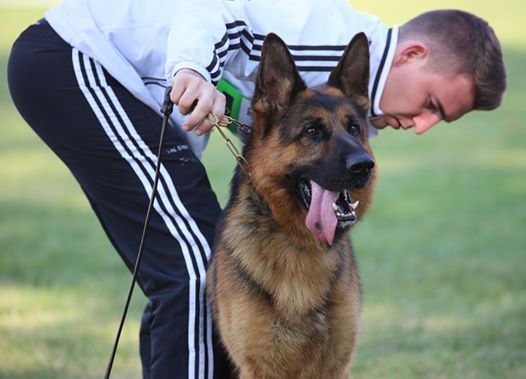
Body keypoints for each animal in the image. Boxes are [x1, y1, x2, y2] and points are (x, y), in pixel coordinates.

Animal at [208, 33, 378, 379]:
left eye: (354, 128)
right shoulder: (259, 368)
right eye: (312, 131)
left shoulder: (337, 366)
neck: (302, 247)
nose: (364, 166)